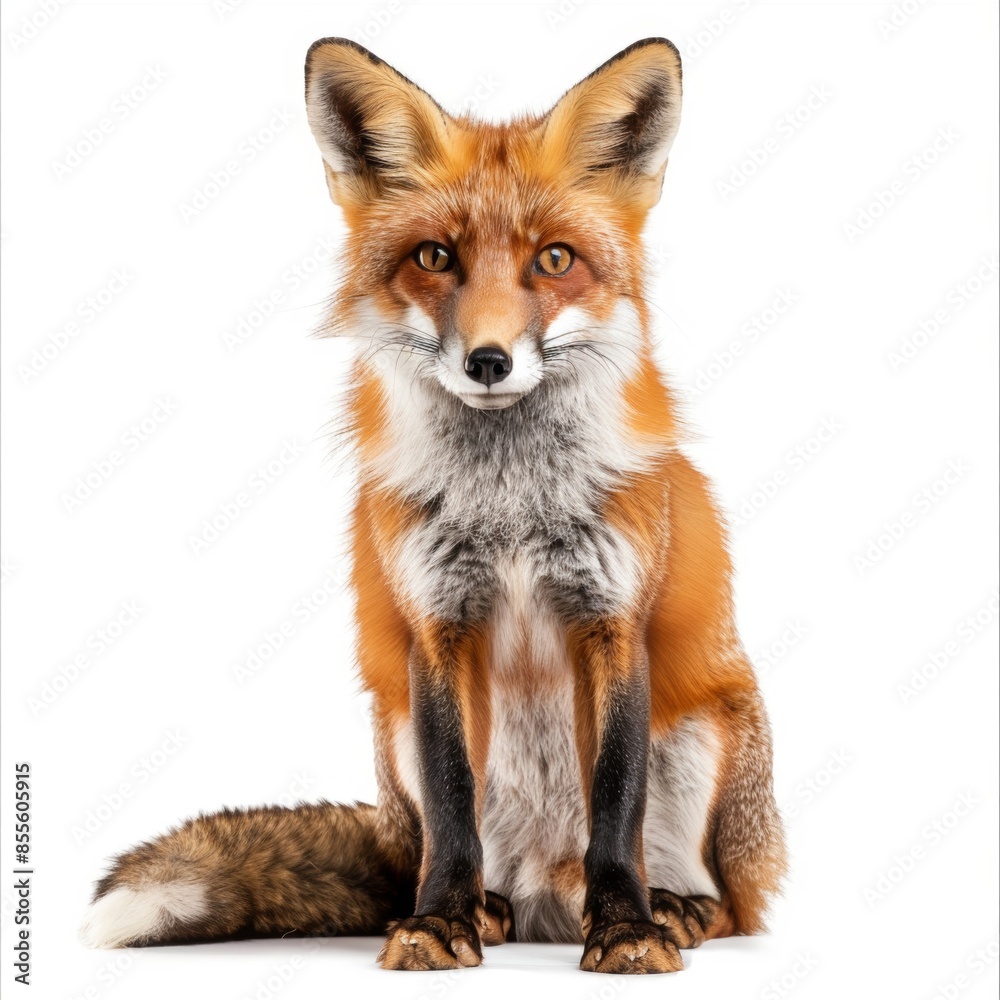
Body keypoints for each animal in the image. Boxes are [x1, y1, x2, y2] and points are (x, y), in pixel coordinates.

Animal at [80, 37, 786, 974]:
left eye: (553, 259)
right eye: (434, 257)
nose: (489, 360)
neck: (511, 507)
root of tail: (546, 893)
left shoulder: (613, 616)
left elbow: (616, 798)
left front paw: (628, 927)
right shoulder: (436, 621)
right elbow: (455, 797)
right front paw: (439, 922)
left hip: (710, 733)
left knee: (732, 901)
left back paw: (672, 909)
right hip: (394, 734)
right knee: (442, 856)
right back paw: (475, 909)